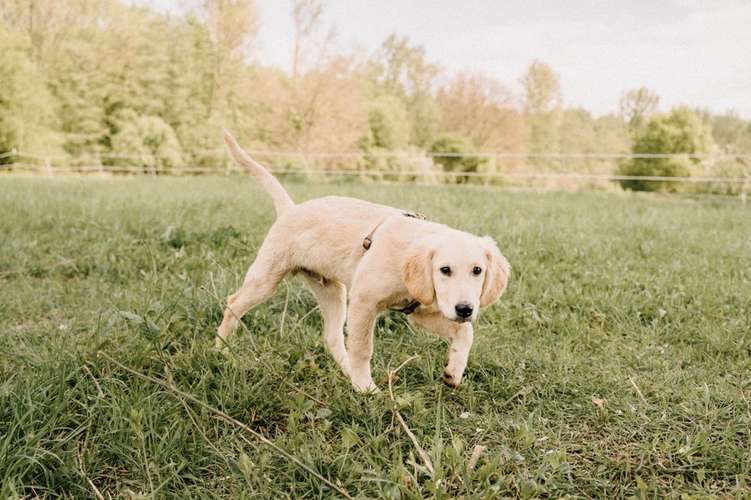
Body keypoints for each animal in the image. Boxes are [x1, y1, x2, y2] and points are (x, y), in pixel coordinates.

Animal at [217, 131, 512, 392]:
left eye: (477, 270)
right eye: (445, 270)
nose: (465, 309)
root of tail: (291, 209)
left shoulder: (420, 312)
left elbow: (465, 332)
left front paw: (454, 371)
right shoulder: (364, 302)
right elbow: (362, 348)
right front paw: (366, 389)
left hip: (332, 291)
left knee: (332, 337)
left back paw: (347, 372)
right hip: (266, 279)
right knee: (233, 305)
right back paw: (220, 350)